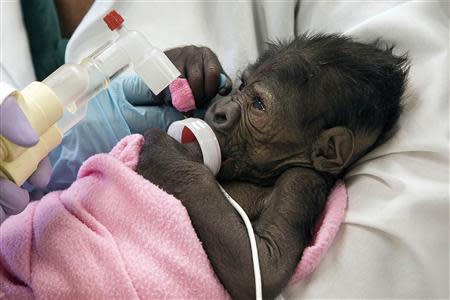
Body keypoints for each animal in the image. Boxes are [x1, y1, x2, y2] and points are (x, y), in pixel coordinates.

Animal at [137, 34, 408, 298]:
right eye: (242, 85)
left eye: (258, 104)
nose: (219, 110)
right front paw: (188, 62)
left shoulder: (300, 182)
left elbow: (263, 266)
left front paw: (164, 153)